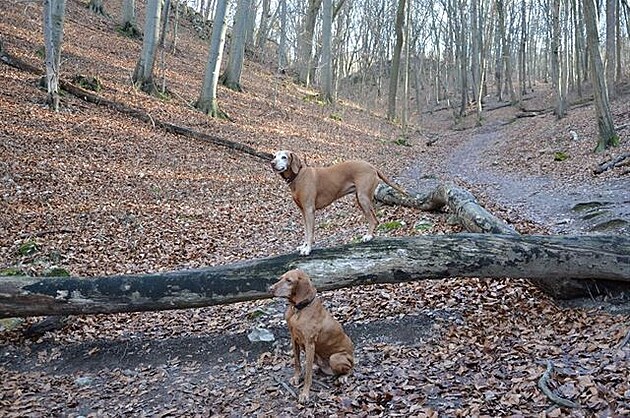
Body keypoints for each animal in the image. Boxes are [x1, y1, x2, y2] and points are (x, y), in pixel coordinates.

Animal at [268, 270, 356, 404]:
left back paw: (343, 377)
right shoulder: (294, 339)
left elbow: (308, 374)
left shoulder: (309, 344)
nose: (270, 289)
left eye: (289, 281)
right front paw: (296, 377)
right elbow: (297, 362)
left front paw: (304, 394)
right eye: (281, 278)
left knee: (350, 369)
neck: (298, 310)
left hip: (335, 358)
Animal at [270, 150, 408, 255]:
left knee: (374, 220)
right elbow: (305, 231)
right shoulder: (303, 212)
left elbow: (310, 232)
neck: (298, 176)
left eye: (284, 157)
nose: (272, 163)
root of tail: (372, 166)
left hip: (363, 198)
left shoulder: (309, 210)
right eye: (274, 156)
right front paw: (303, 246)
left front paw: (308, 249)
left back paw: (368, 236)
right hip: (360, 199)